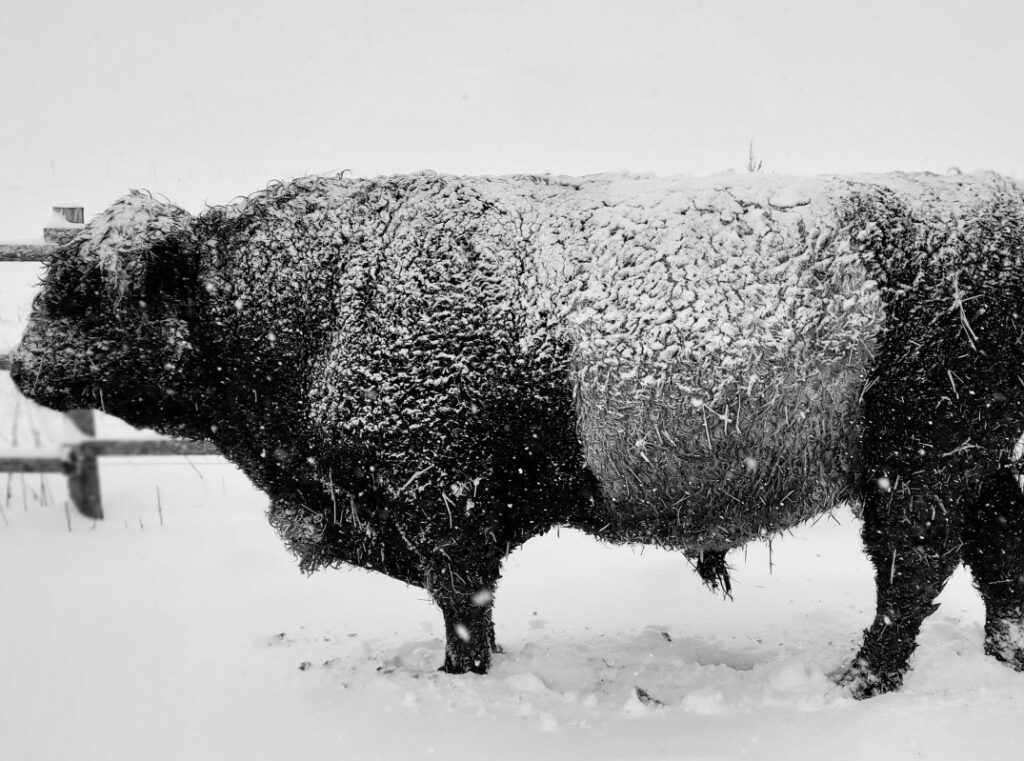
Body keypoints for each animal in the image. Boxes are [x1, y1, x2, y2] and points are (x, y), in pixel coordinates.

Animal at [12, 173, 1024, 696]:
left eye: (82, 292)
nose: (19, 366)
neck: (325, 300)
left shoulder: (440, 501)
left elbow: (464, 609)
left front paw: (462, 682)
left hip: (924, 464)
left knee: (913, 571)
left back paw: (862, 678)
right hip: (972, 462)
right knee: (996, 549)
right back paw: (1002, 654)